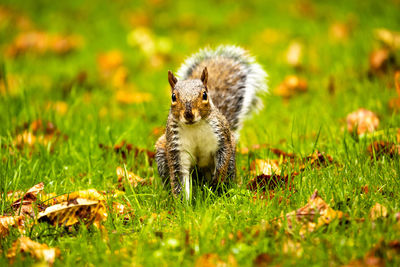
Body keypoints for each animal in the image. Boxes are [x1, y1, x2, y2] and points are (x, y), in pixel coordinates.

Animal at [155, 45, 268, 201]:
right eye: (173, 97)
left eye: (204, 95)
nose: (189, 114)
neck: (194, 127)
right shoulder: (176, 147)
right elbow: (179, 179)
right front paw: (183, 204)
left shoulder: (222, 138)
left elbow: (222, 162)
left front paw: (216, 183)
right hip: (161, 153)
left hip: (231, 160)